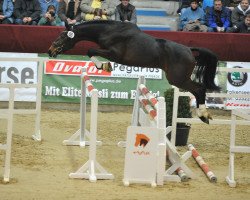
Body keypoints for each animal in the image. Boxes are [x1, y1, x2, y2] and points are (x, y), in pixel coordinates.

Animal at [47, 20, 220, 123]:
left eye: (62, 37)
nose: (50, 51)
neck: (109, 31)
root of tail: (189, 50)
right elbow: (90, 51)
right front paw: (103, 66)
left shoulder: (114, 54)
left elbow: (90, 50)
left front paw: (103, 66)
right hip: (179, 79)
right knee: (198, 90)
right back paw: (203, 115)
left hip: (177, 79)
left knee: (199, 89)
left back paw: (203, 114)